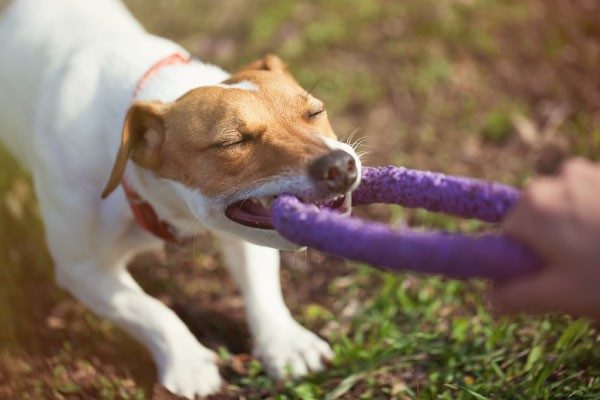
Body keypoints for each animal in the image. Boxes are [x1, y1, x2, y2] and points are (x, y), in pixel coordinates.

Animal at [0, 0, 360, 396]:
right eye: (232, 142)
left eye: (316, 111)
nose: (340, 166)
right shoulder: (82, 268)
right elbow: (149, 310)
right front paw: (189, 363)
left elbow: (260, 289)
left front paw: (286, 344)